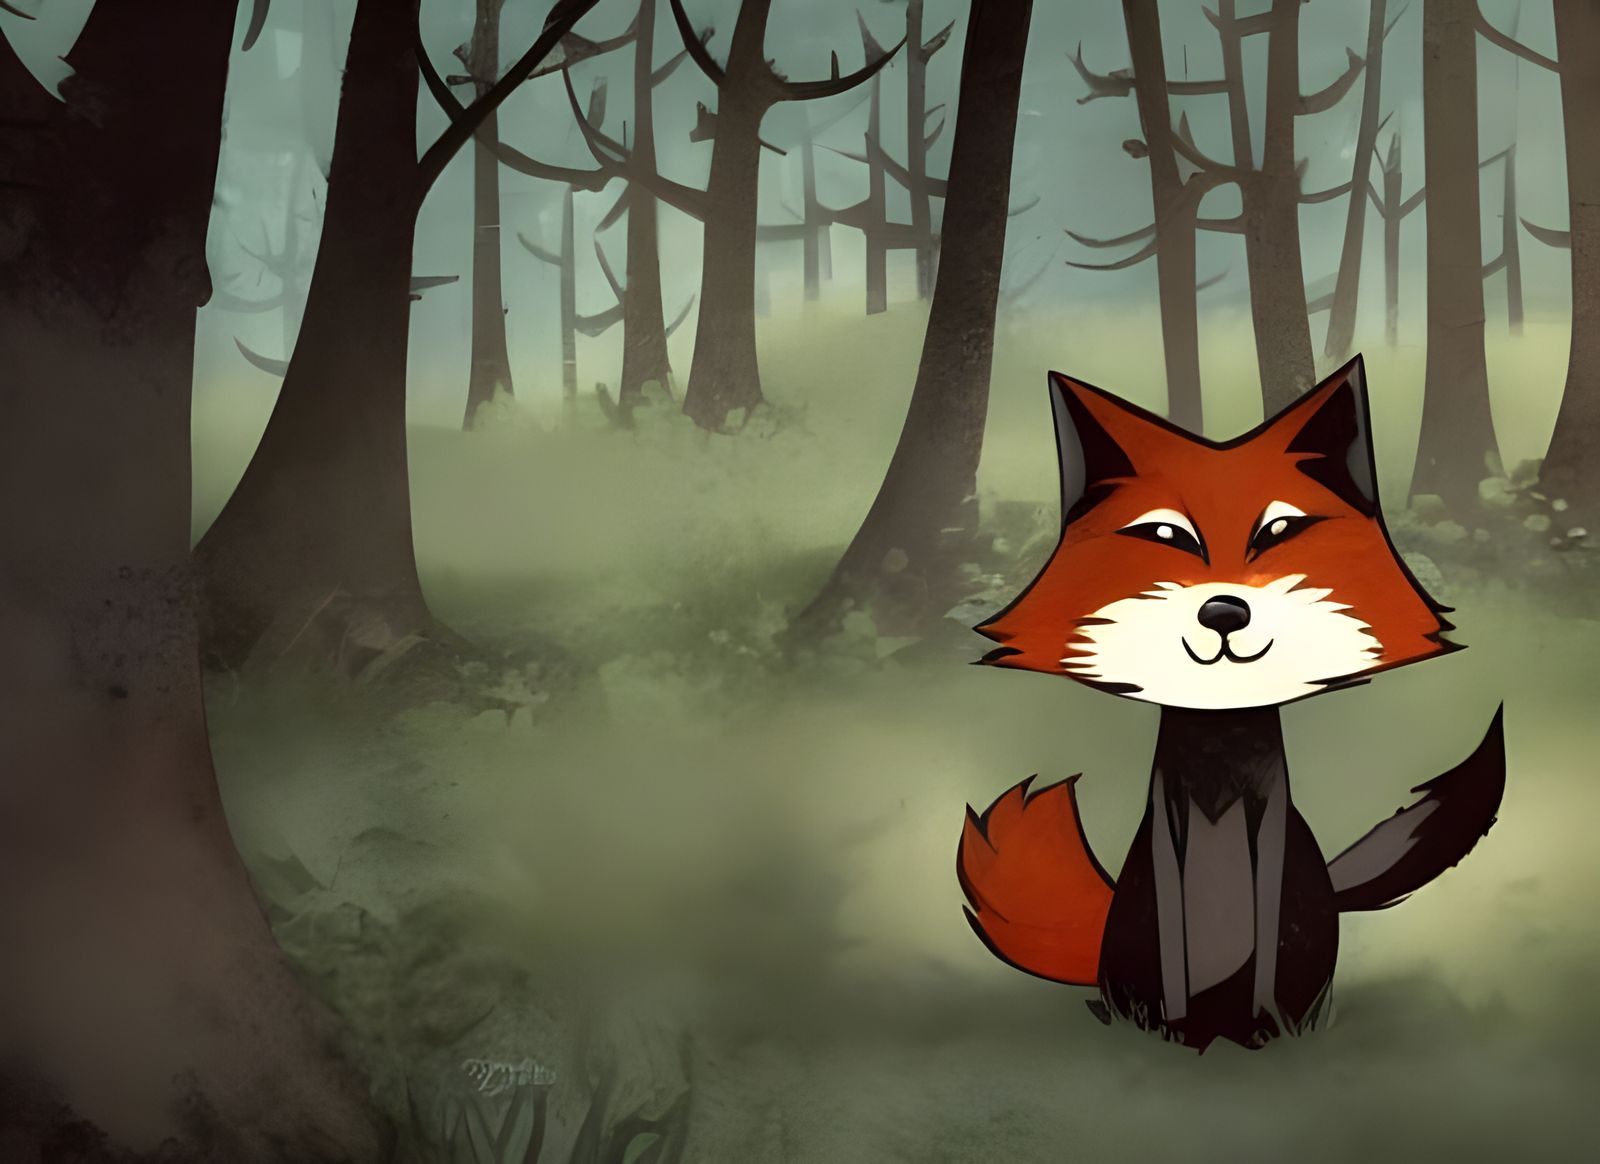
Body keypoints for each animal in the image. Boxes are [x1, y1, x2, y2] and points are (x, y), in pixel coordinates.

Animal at [957, 355, 1505, 1052]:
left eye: (1279, 530)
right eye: (1167, 534)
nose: (1223, 611)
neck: (1218, 751)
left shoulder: (1270, 825)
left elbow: (1264, 950)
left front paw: (1262, 1032)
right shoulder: (1165, 834)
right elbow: (1176, 954)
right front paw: (1178, 1035)